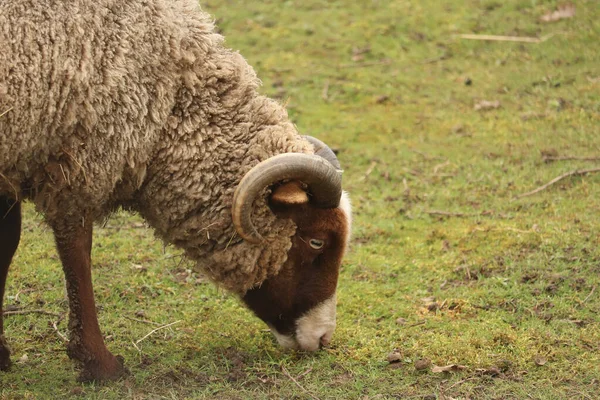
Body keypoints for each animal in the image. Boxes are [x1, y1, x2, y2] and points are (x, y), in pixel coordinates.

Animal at [0, 0, 352, 382]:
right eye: (316, 241)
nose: (322, 338)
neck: (169, 104)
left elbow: (7, 246)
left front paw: (2, 353)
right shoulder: (79, 158)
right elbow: (75, 250)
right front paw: (98, 362)